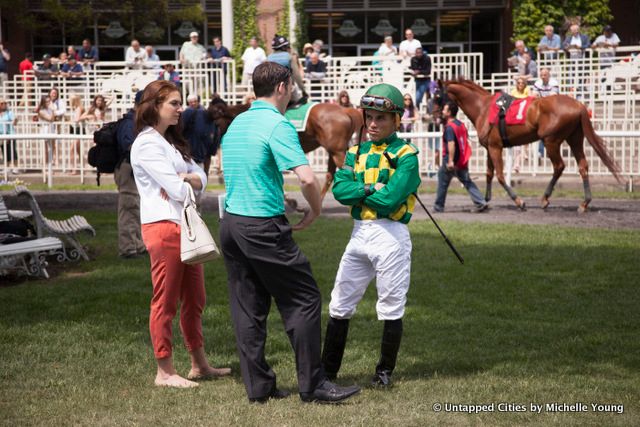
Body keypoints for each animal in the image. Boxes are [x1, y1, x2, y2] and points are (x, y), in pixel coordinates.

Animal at [210, 98, 364, 201]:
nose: (213, 143)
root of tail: (344, 110)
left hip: (337, 152)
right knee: (330, 176)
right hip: (334, 152)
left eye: (216, 122)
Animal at [440, 78, 620, 212]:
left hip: (551, 141)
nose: (437, 116)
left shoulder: (495, 147)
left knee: (559, 166)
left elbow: (500, 175)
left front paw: (519, 201)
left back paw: (545, 199)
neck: (483, 108)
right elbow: (489, 174)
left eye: (436, 95)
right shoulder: (489, 147)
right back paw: (584, 202)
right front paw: (484, 200)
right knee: (583, 166)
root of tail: (579, 105)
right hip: (574, 138)